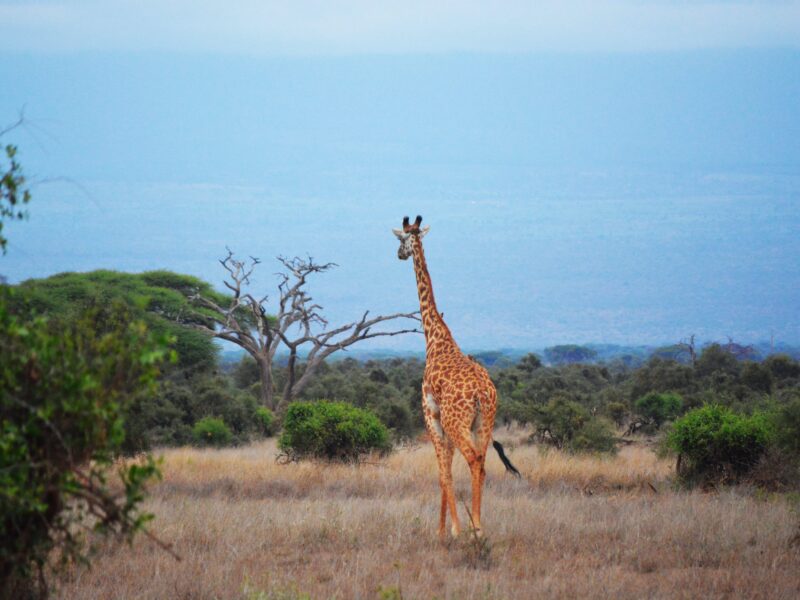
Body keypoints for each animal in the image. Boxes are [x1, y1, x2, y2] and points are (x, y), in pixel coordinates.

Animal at [393, 215, 520, 538]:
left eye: (401, 239)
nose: (399, 255)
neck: (436, 339)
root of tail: (482, 394)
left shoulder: (432, 415)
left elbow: (443, 473)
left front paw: (450, 530)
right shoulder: (445, 421)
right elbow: (446, 470)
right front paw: (443, 528)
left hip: (458, 421)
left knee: (473, 459)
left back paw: (474, 527)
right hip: (483, 423)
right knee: (483, 462)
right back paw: (479, 525)